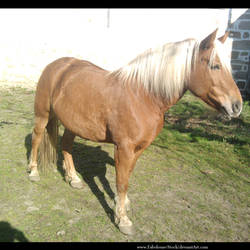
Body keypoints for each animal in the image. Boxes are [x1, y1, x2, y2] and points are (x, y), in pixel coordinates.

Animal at [27, 28, 242, 234]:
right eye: (215, 66)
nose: (237, 106)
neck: (144, 96)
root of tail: (57, 65)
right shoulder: (124, 148)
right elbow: (122, 182)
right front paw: (123, 220)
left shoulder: (138, 148)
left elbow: (127, 175)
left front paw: (121, 204)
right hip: (43, 115)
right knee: (37, 138)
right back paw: (33, 172)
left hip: (73, 123)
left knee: (66, 145)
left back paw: (73, 179)